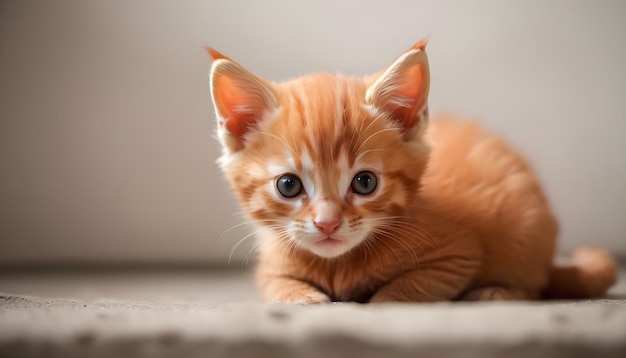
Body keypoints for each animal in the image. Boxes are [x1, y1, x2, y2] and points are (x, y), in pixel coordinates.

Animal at [206, 38, 616, 302]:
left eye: (365, 182)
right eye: (289, 185)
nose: (327, 224)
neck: (338, 265)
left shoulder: (458, 255)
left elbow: (404, 291)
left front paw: (381, 299)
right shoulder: (270, 262)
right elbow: (275, 283)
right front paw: (302, 296)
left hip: (528, 234)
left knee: (532, 281)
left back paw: (497, 291)